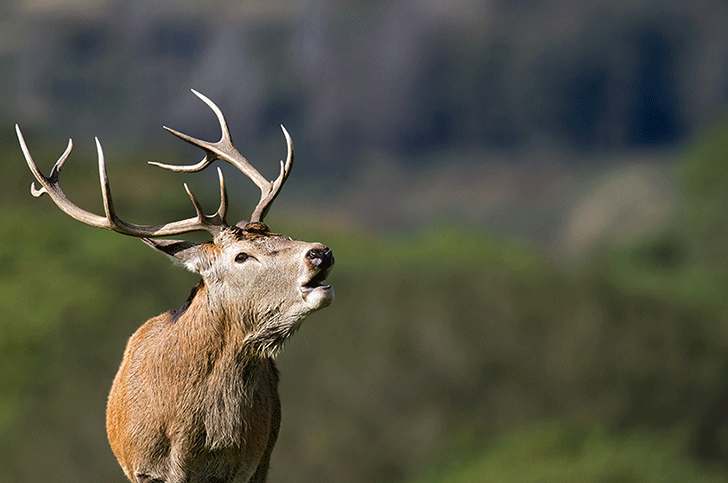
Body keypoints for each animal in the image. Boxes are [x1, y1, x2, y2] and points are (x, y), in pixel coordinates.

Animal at [15, 89, 334, 483]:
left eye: (284, 235)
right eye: (242, 256)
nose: (320, 253)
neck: (192, 441)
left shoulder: (247, 467)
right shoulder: (143, 468)